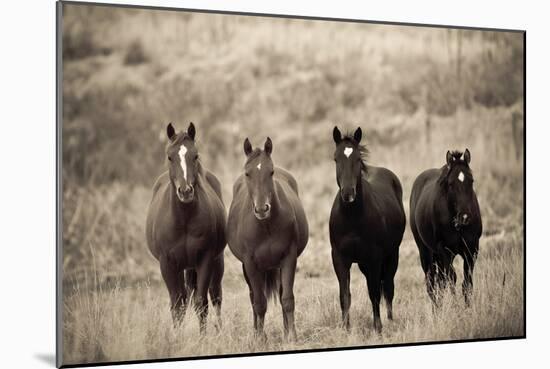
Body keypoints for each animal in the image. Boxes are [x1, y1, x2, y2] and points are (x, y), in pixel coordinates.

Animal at [146, 121, 227, 334]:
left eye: (195, 155)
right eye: (169, 156)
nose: (185, 191)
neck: (183, 220)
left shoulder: (205, 259)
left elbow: (201, 303)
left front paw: (203, 337)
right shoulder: (167, 264)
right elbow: (177, 305)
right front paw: (177, 337)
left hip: (216, 262)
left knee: (216, 296)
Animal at [226, 137, 308, 340]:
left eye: (270, 172)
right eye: (247, 173)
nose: (262, 209)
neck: (266, 226)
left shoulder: (288, 258)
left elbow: (287, 298)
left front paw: (291, 336)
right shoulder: (250, 264)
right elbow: (259, 302)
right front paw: (260, 339)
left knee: (280, 293)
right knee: (253, 297)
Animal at [328, 126, 410, 330]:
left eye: (357, 158)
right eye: (336, 158)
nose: (348, 193)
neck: (352, 218)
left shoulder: (374, 258)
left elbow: (375, 294)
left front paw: (378, 327)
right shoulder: (340, 259)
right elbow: (345, 296)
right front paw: (346, 328)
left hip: (391, 255)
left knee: (388, 287)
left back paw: (390, 320)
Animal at [410, 147, 484, 304]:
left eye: (471, 181)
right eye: (451, 184)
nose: (465, 217)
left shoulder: (472, 249)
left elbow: (466, 283)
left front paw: (467, 307)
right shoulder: (444, 250)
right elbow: (451, 278)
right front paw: (455, 306)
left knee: (439, 282)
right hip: (425, 251)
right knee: (432, 283)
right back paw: (437, 307)